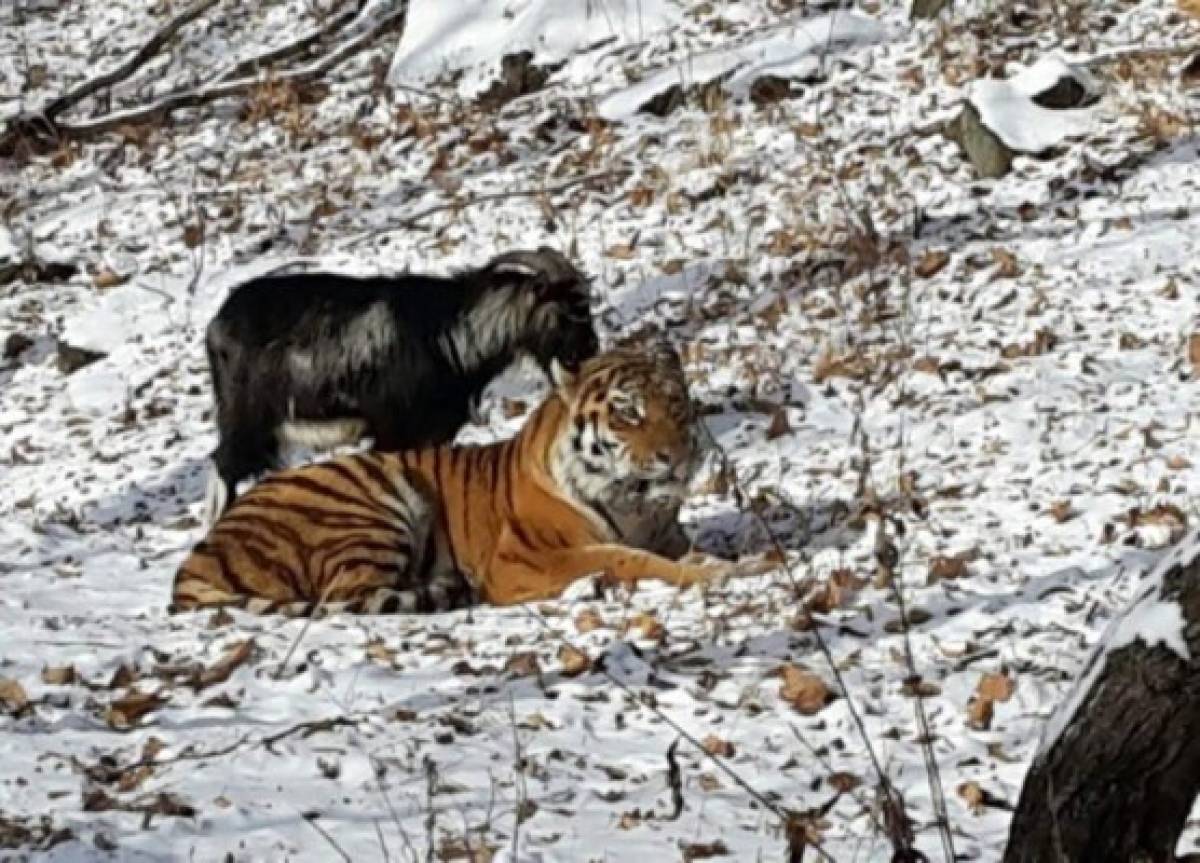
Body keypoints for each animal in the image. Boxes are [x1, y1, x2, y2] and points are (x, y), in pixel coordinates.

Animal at [169, 340, 729, 619]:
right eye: (628, 411)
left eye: (675, 404)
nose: (678, 457)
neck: (636, 504)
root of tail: (198, 555)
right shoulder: (522, 558)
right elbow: (624, 557)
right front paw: (720, 571)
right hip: (372, 504)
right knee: (347, 594)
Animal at [206, 246, 604, 520]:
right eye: (567, 310)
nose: (589, 351)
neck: (448, 334)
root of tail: (216, 326)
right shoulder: (392, 432)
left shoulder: (433, 433)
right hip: (246, 420)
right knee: (223, 467)